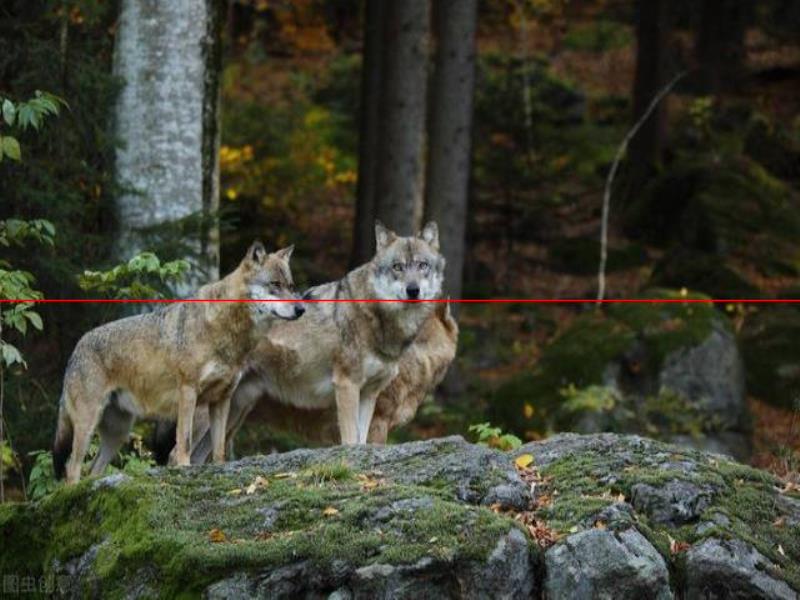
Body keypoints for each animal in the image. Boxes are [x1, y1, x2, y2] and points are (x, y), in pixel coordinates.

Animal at [53, 241, 304, 486]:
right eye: (275, 284)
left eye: (291, 286)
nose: (301, 309)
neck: (226, 332)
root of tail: (76, 349)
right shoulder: (188, 391)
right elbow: (183, 442)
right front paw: (184, 470)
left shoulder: (222, 399)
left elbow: (219, 450)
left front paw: (220, 469)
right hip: (88, 425)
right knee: (72, 468)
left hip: (118, 433)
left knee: (92, 471)